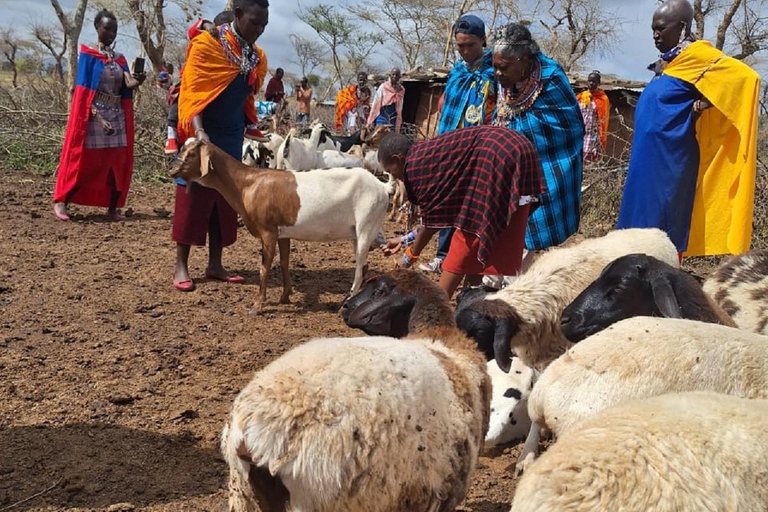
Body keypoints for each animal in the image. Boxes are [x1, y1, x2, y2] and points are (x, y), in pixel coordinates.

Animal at [172, 139, 392, 312]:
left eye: (191, 153)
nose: (173, 170)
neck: (248, 184)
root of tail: (382, 186)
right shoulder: (283, 233)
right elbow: (285, 262)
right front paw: (285, 296)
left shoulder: (268, 231)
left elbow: (264, 268)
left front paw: (257, 306)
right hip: (359, 232)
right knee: (364, 265)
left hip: (366, 226)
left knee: (359, 268)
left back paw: (345, 303)